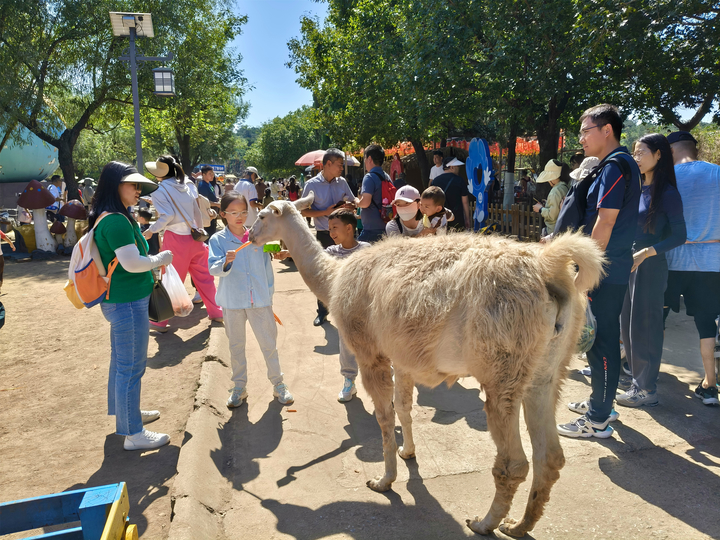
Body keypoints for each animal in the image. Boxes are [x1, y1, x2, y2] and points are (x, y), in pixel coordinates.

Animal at [250, 195, 604, 536]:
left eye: (262, 215)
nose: (250, 235)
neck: (334, 279)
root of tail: (548, 266)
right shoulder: (402, 357)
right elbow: (404, 407)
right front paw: (408, 452)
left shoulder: (370, 352)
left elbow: (384, 416)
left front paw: (384, 480)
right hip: (547, 370)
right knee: (550, 456)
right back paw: (518, 525)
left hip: (502, 363)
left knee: (513, 463)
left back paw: (484, 523)